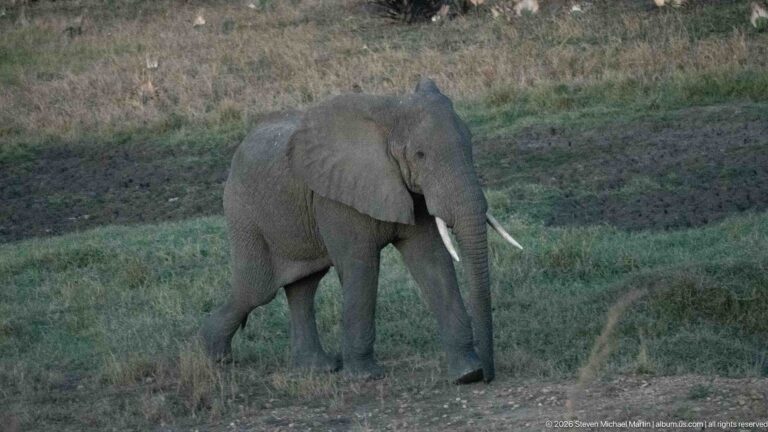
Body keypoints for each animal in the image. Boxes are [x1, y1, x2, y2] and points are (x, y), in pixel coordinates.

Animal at [200, 78, 522, 384]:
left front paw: (468, 374)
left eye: (470, 144)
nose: (489, 376)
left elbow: (432, 260)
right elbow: (361, 266)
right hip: (244, 213)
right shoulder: (336, 197)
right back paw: (214, 356)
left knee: (303, 286)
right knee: (257, 288)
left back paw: (318, 368)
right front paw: (365, 376)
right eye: (420, 155)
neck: (390, 114)